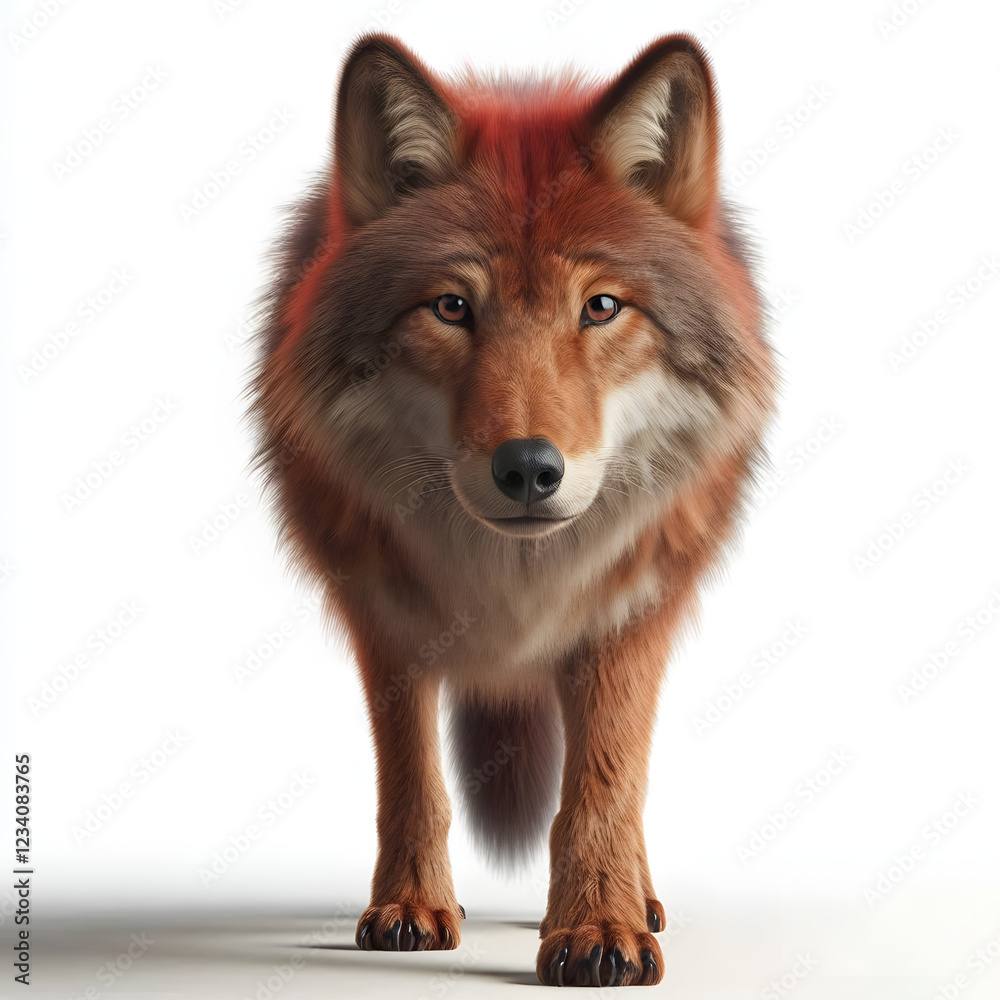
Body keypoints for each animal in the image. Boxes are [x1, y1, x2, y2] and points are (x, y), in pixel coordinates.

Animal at [247, 31, 778, 988]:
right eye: (453, 306)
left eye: (600, 307)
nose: (528, 468)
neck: (514, 579)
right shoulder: (385, 612)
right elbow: (412, 781)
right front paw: (411, 906)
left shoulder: (630, 611)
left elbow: (606, 782)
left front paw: (599, 926)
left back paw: (639, 897)